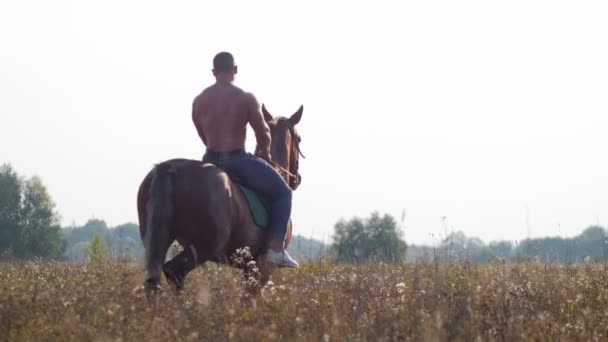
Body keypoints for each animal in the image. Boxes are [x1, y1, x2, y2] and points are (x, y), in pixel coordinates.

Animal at [135, 103, 302, 292]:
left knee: (155, 280)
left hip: (158, 239)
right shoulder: (260, 269)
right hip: (202, 247)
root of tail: (171, 168)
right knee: (175, 271)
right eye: (299, 139)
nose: (297, 178)